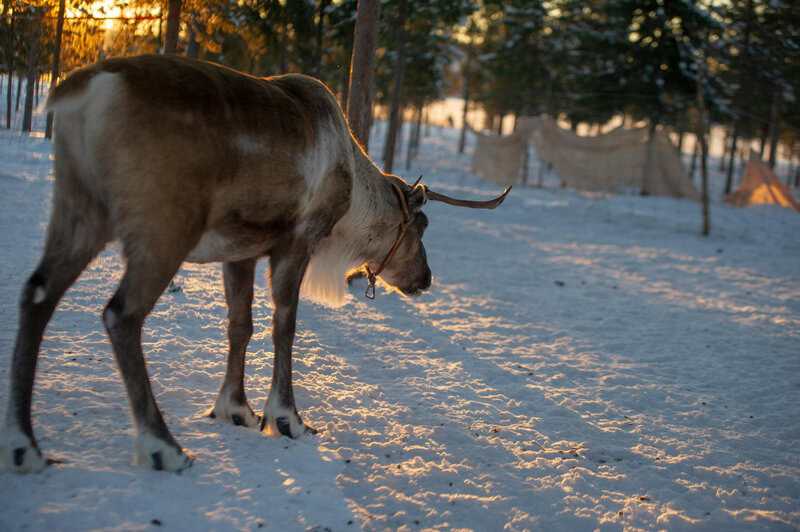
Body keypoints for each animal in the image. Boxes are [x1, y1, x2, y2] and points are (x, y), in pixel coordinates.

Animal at [1, 55, 509, 473]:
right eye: (420, 226)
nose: (425, 278)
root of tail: (86, 91)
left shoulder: (241, 250)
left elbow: (239, 324)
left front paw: (235, 409)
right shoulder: (297, 241)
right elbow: (284, 325)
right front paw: (286, 417)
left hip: (80, 208)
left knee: (37, 293)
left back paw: (24, 445)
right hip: (162, 228)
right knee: (121, 314)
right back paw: (162, 445)